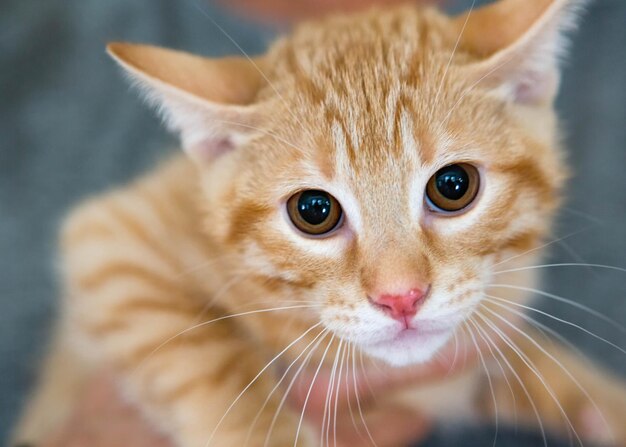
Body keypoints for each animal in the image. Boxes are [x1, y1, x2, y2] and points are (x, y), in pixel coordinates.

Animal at [12, 0, 624, 446]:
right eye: (313, 211)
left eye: (453, 187)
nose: (401, 298)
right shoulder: (110, 238)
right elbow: (207, 357)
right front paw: (261, 431)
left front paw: (602, 402)